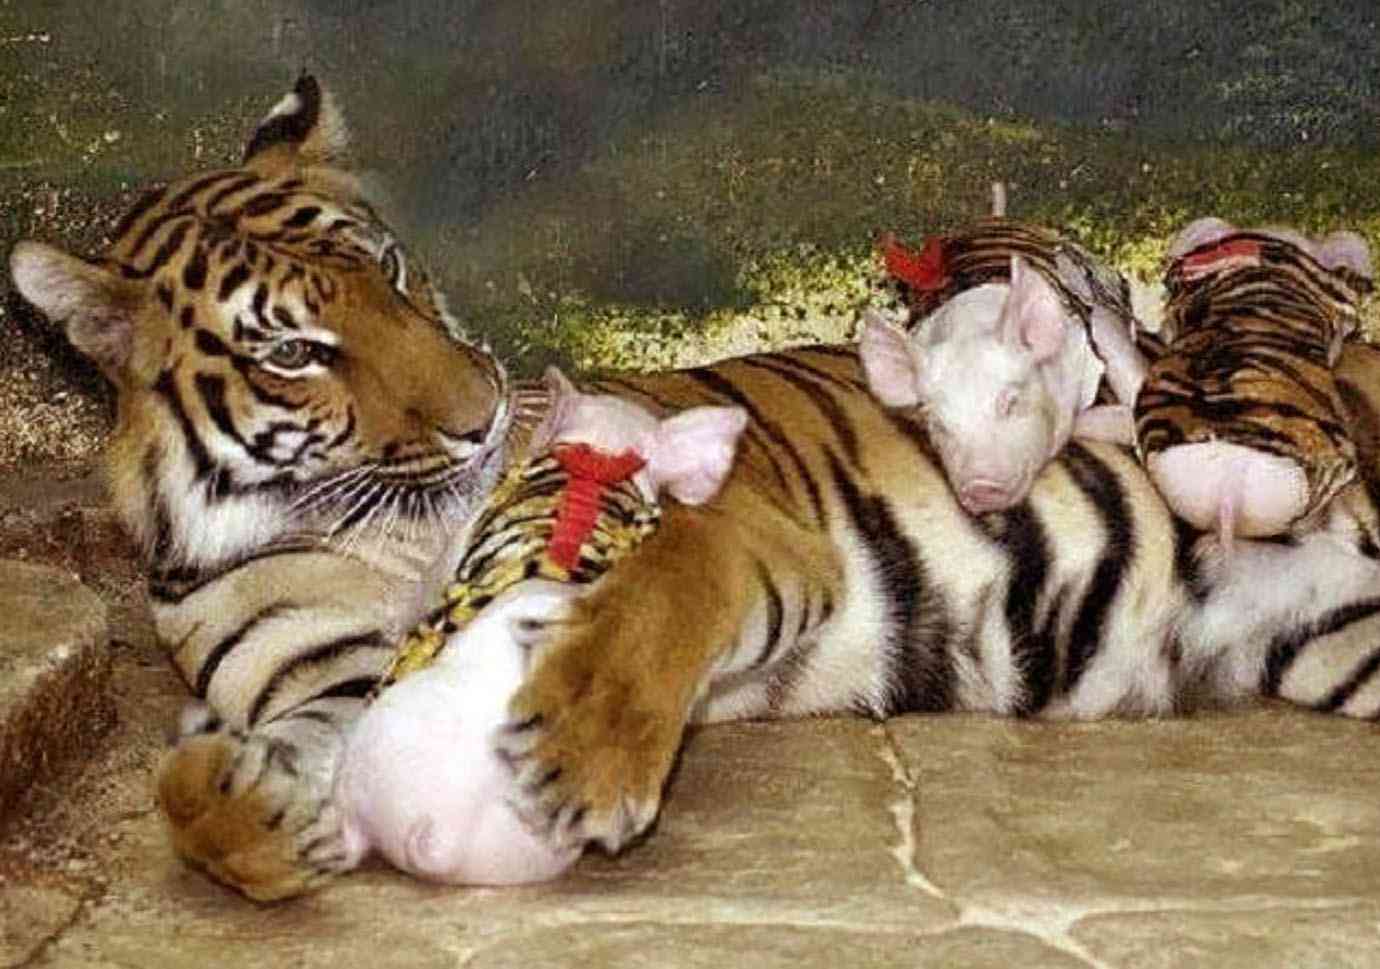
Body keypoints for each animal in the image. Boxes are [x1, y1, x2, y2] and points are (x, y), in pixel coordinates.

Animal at [12, 76, 1380, 903]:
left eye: (391, 272)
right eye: (296, 350)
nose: (482, 410)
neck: (380, 523)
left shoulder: (730, 523)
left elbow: (657, 587)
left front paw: (583, 749)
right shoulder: (330, 679)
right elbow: (209, 794)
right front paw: (247, 806)